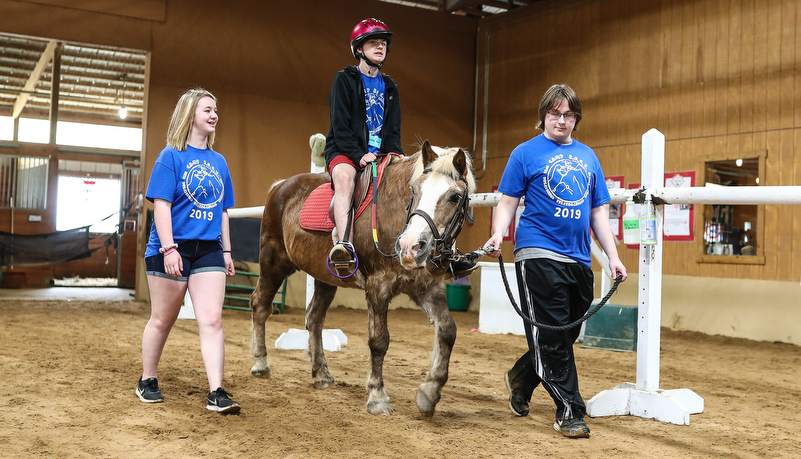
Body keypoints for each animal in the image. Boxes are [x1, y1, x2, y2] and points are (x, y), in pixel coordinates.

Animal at [250, 142, 476, 418]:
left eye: (455, 197)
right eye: (414, 189)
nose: (410, 247)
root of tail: (280, 185)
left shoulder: (427, 286)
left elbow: (447, 331)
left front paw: (429, 393)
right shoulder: (378, 286)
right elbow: (379, 340)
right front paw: (377, 396)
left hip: (326, 276)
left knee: (314, 318)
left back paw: (321, 373)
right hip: (273, 262)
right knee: (260, 304)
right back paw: (261, 363)